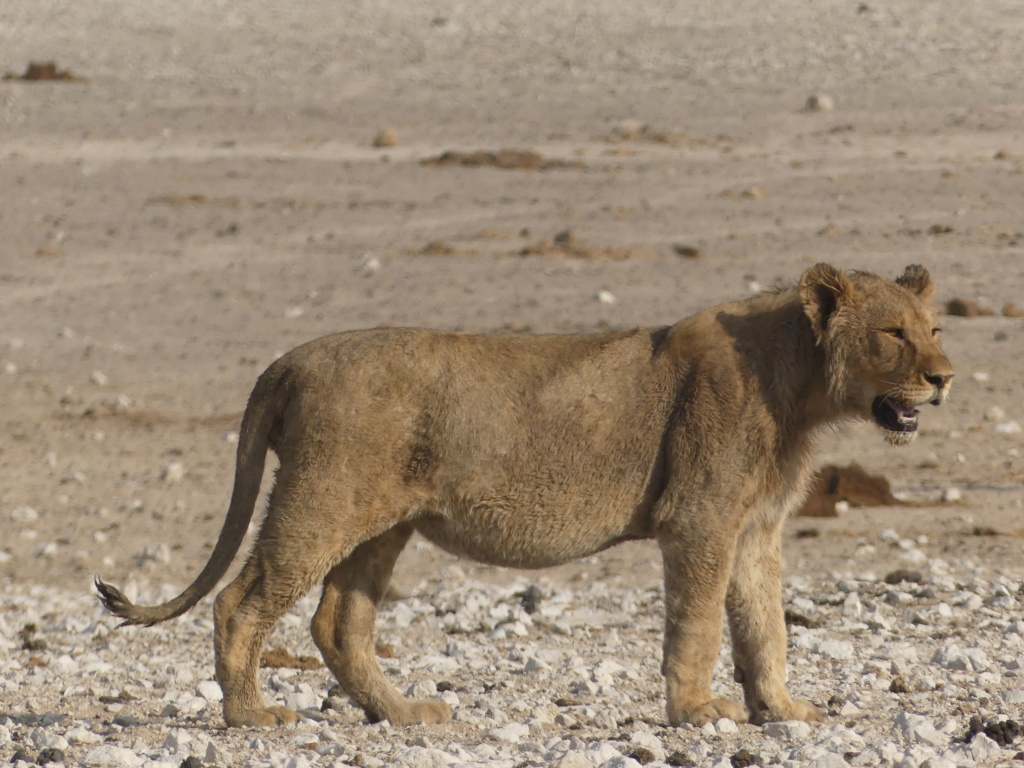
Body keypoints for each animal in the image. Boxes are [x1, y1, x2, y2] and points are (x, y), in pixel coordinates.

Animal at [96, 264, 950, 729]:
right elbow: (700, 623)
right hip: (322, 499)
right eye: (893, 334)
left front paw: (784, 711)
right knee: (240, 602)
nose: (943, 377)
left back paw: (403, 714)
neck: (801, 386)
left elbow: (765, 625)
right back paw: (252, 717)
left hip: (381, 524)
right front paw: (700, 712)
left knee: (338, 622)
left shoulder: (754, 528)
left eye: (934, 328)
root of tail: (288, 358)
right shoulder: (699, 519)